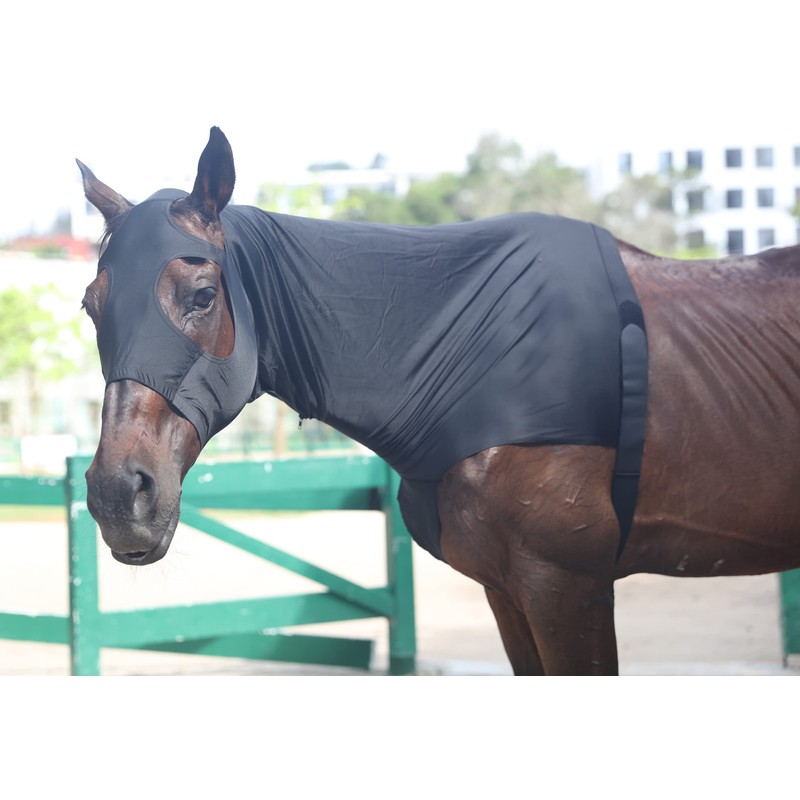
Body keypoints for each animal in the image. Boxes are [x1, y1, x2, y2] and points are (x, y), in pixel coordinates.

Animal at [77, 127, 800, 675]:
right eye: (91, 305)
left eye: (202, 295)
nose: (117, 494)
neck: (495, 363)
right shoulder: (509, 592)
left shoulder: (570, 588)